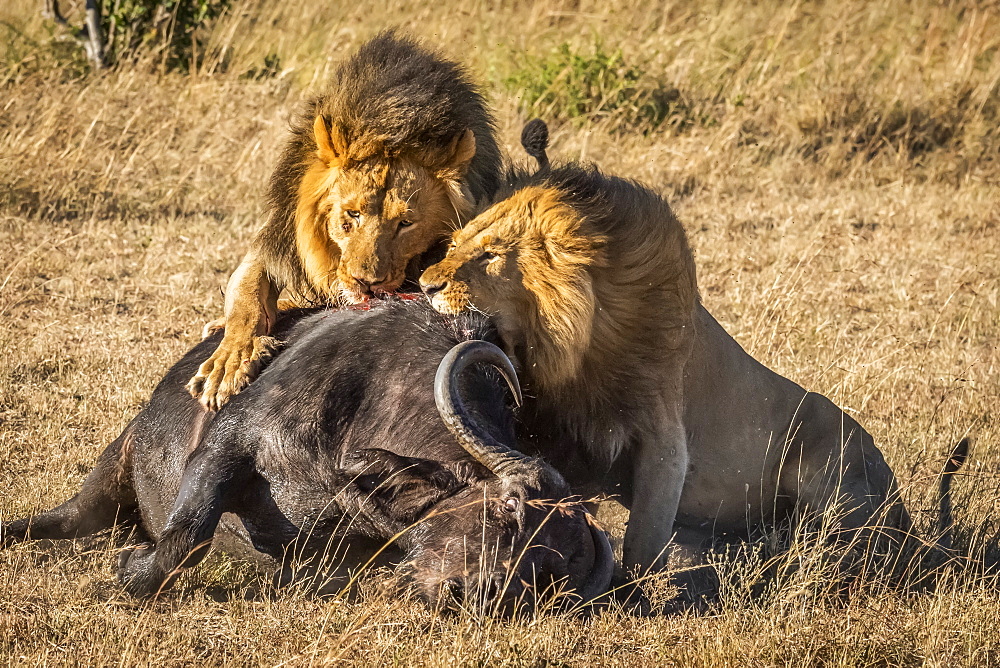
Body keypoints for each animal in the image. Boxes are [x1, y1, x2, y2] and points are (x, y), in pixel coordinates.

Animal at [0, 300, 612, 612]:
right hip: (113, 466)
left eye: (545, 575)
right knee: (68, 518)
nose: (470, 592)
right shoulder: (229, 442)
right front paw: (130, 572)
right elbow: (188, 534)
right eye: (508, 508)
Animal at [188, 31, 500, 410]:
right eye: (353, 214)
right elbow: (245, 298)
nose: (366, 283)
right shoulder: (275, 243)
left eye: (406, 224)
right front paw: (227, 364)